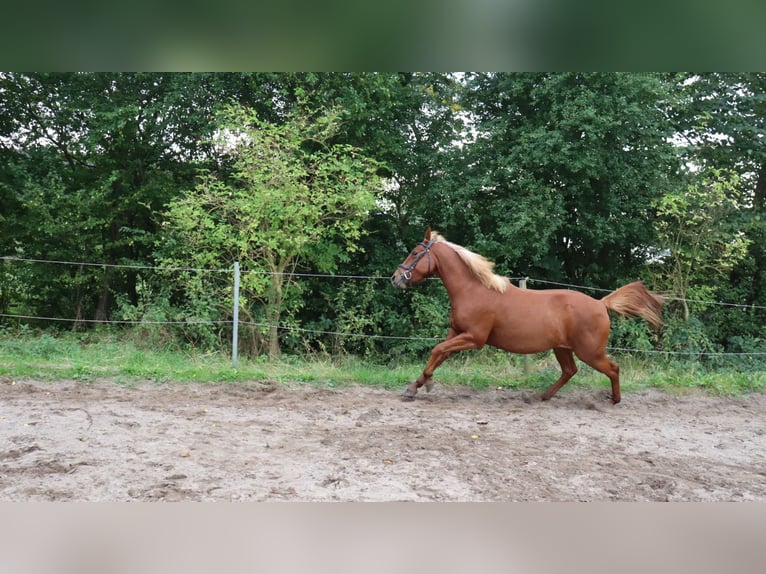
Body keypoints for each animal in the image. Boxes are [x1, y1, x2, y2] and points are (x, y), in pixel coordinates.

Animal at [392, 230, 664, 404]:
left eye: (414, 253)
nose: (395, 278)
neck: (473, 290)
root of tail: (600, 303)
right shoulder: (456, 332)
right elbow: (440, 353)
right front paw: (416, 385)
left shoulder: (474, 338)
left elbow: (437, 350)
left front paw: (423, 384)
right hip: (562, 348)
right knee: (570, 371)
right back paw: (541, 396)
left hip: (590, 352)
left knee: (613, 368)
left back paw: (615, 400)